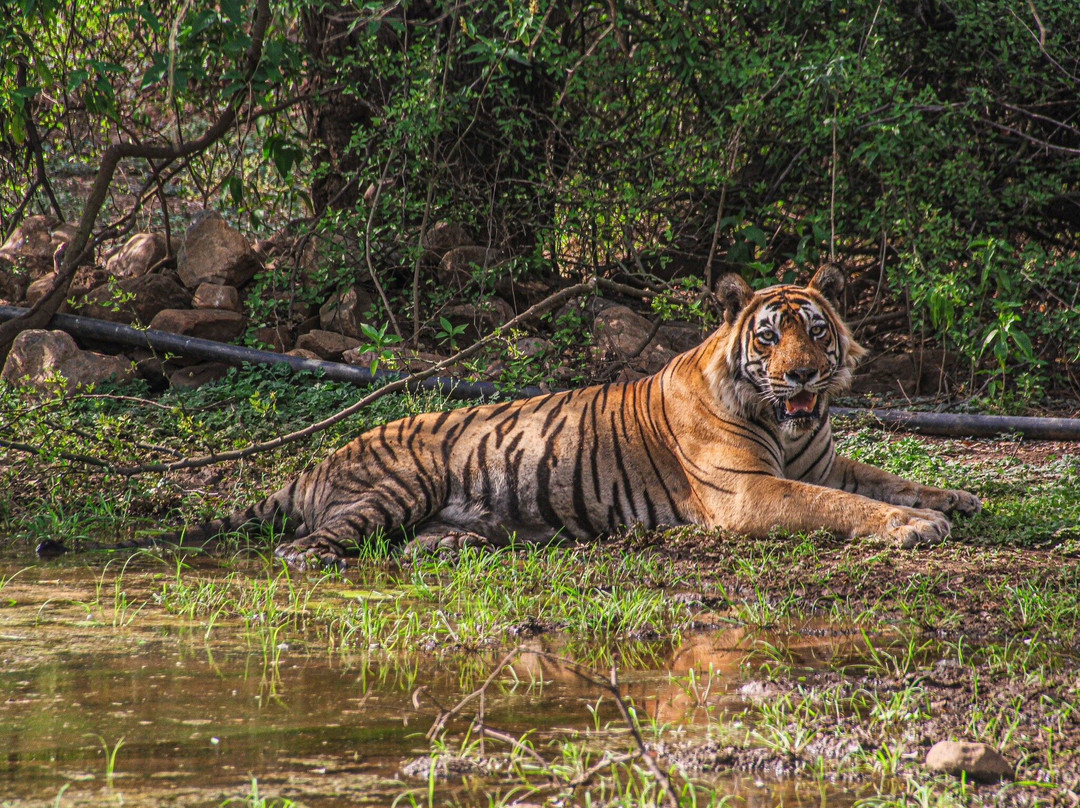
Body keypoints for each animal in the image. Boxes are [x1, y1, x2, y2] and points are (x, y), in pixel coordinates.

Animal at [110, 265, 983, 569]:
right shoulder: (750, 492)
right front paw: (917, 528)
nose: (802, 374)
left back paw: (458, 547)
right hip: (395, 485)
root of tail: (318, 458)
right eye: (769, 336)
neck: (787, 423)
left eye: (817, 330)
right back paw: (318, 561)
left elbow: (883, 476)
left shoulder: (823, 459)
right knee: (304, 544)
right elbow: (844, 505)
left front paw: (959, 499)